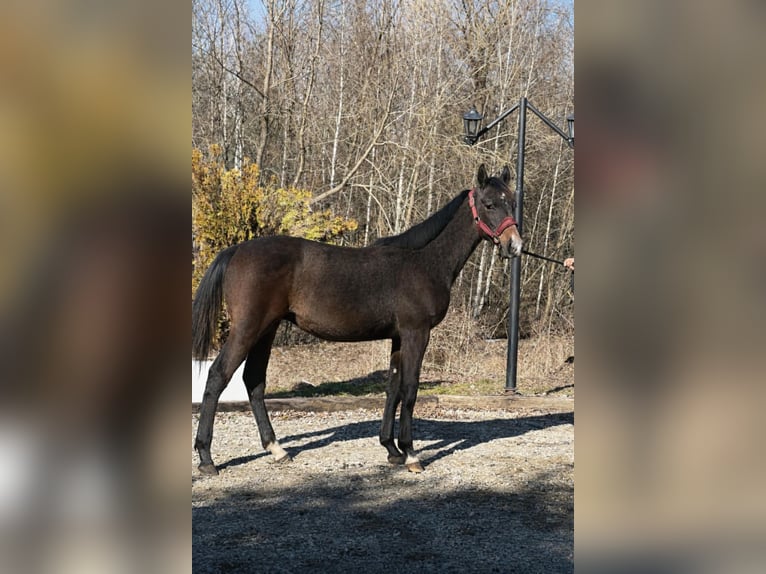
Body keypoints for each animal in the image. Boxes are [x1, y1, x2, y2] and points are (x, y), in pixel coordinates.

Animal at [192, 164, 522, 474]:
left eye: (513, 201)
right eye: (489, 204)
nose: (515, 245)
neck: (423, 261)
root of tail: (236, 250)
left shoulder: (399, 337)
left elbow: (393, 387)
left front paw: (391, 449)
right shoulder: (417, 333)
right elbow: (410, 389)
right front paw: (411, 454)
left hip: (267, 329)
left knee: (254, 380)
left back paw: (277, 449)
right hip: (248, 329)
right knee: (218, 375)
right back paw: (207, 458)